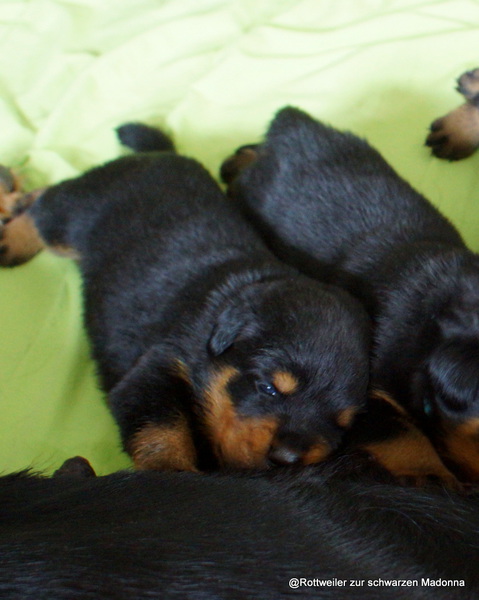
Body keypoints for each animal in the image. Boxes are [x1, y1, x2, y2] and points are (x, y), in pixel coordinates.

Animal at [0, 123, 373, 472]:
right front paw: (172, 470)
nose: (288, 457)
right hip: (78, 210)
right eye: (268, 388)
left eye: (341, 423)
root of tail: (160, 154)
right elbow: (162, 429)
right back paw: (12, 236)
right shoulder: (160, 363)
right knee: (44, 204)